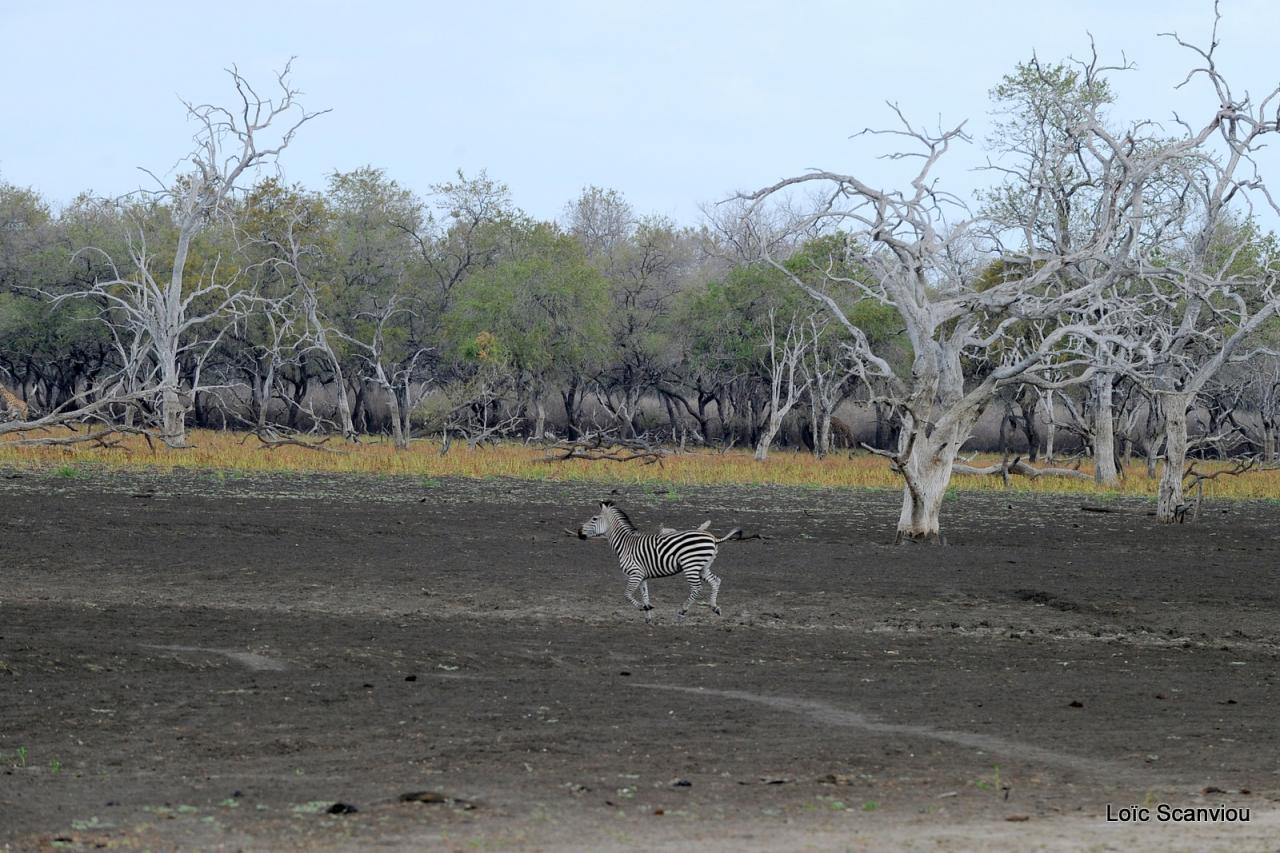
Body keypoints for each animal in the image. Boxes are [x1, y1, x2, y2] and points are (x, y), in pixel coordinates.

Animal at [578, 499, 742, 625]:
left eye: (594, 519)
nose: (579, 532)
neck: (625, 544)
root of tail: (713, 538)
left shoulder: (635, 574)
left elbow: (627, 595)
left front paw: (643, 608)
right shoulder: (642, 576)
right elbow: (645, 596)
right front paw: (648, 617)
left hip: (691, 565)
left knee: (697, 588)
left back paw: (682, 612)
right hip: (703, 566)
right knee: (716, 581)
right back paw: (715, 607)